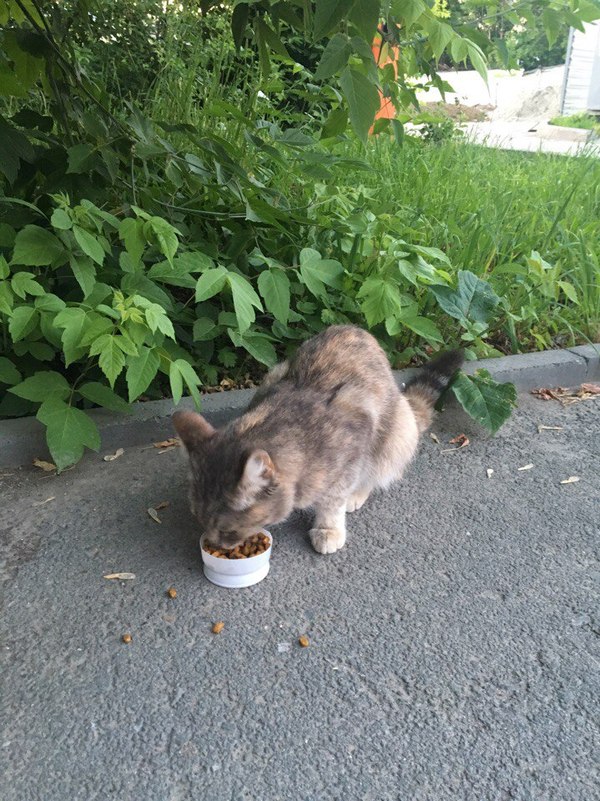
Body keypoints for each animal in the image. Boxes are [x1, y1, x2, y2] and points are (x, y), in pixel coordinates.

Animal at [173, 325, 463, 555]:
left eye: (228, 531)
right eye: (199, 520)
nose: (215, 545)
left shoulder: (355, 444)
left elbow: (334, 498)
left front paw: (329, 528)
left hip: (397, 432)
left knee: (378, 470)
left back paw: (357, 493)